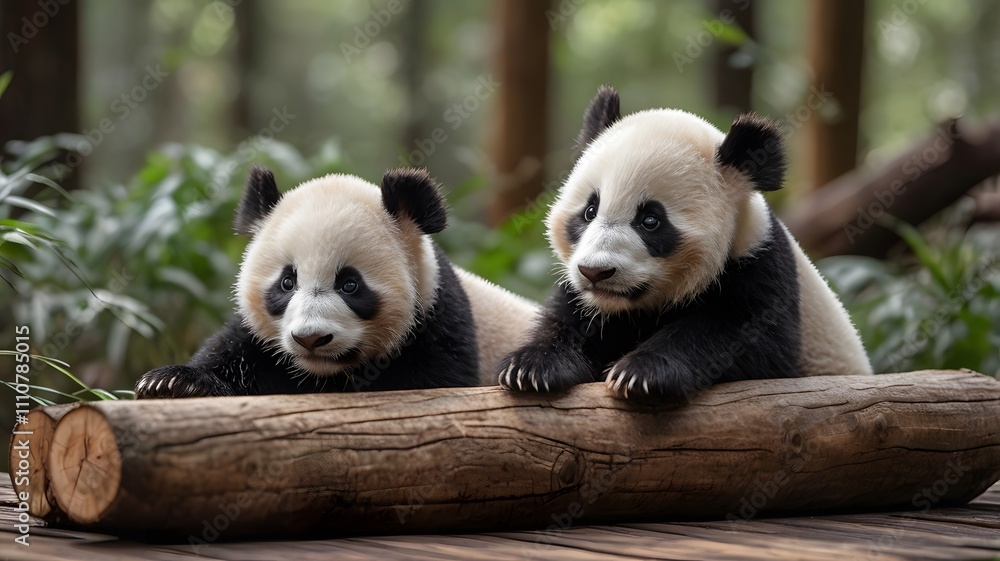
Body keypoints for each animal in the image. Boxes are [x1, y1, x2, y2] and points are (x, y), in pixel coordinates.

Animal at [136, 165, 538, 398]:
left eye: (350, 285)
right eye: (287, 282)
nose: (310, 338)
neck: (325, 372)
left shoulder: (440, 320)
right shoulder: (260, 336)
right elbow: (234, 352)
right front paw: (172, 382)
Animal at [498, 85, 872, 401]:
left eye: (650, 221)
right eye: (590, 211)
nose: (595, 272)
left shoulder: (760, 264)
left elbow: (750, 338)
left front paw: (640, 372)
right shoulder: (583, 297)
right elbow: (566, 322)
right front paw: (530, 367)